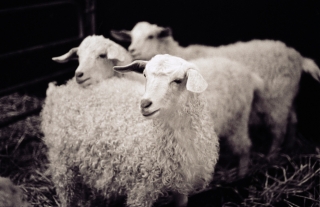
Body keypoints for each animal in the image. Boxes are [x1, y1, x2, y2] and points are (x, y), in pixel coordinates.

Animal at [42, 70, 218, 207]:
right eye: (145, 75)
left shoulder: (182, 181)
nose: (145, 104)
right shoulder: (142, 186)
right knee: (67, 191)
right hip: (61, 161)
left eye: (178, 80)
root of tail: (61, 90)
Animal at [110, 21, 320, 157]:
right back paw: (290, 147)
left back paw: (271, 156)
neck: (181, 52)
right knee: (293, 120)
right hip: (287, 96)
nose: (132, 50)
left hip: (276, 100)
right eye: (131, 37)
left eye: (151, 36)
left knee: (278, 129)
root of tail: (298, 57)